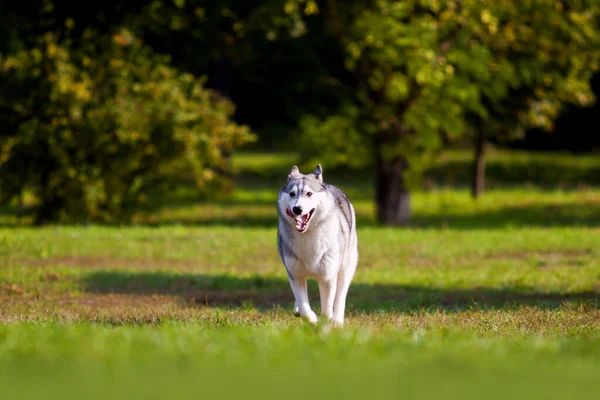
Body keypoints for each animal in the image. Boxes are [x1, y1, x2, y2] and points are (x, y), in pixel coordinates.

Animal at [278, 164, 358, 326]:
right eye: (292, 194)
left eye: (309, 193)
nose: (297, 209)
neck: (307, 234)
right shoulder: (294, 274)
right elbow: (303, 306)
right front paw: (312, 319)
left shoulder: (328, 277)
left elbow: (327, 310)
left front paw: (325, 323)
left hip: (347, 267)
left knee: (340, 295)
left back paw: (337, 321)